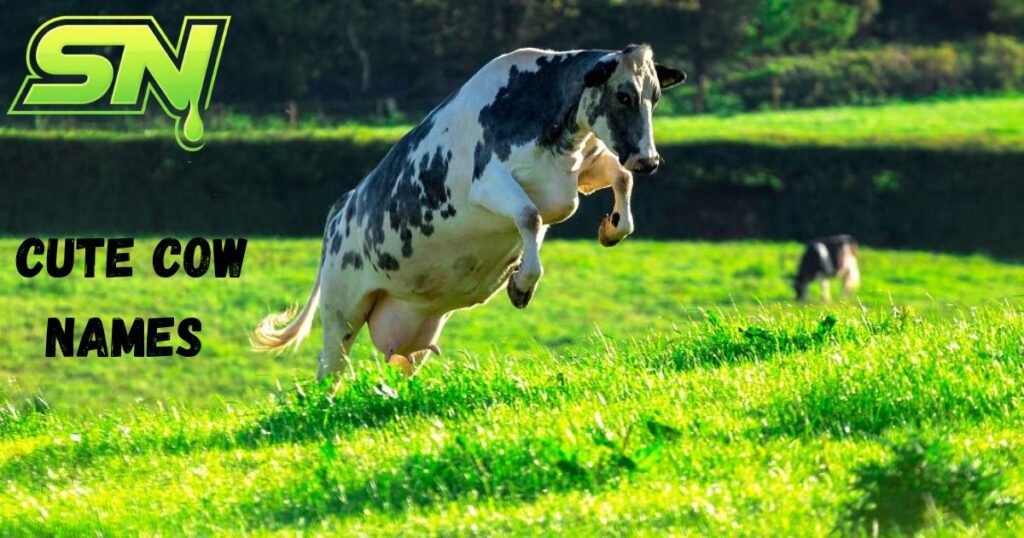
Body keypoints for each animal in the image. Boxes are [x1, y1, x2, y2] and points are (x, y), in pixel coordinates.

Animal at [252, 44, 686, 379]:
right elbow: (529, 216)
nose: (649, 160)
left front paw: (612, 228)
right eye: (623, 96)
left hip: (417, 330)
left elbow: (621, 181)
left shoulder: (582, 170)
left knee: (402, 363)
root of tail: (339, 210)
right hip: (341, 310)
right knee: (330, 366)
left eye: (655, 97)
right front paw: (521, 284)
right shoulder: (488, 181)